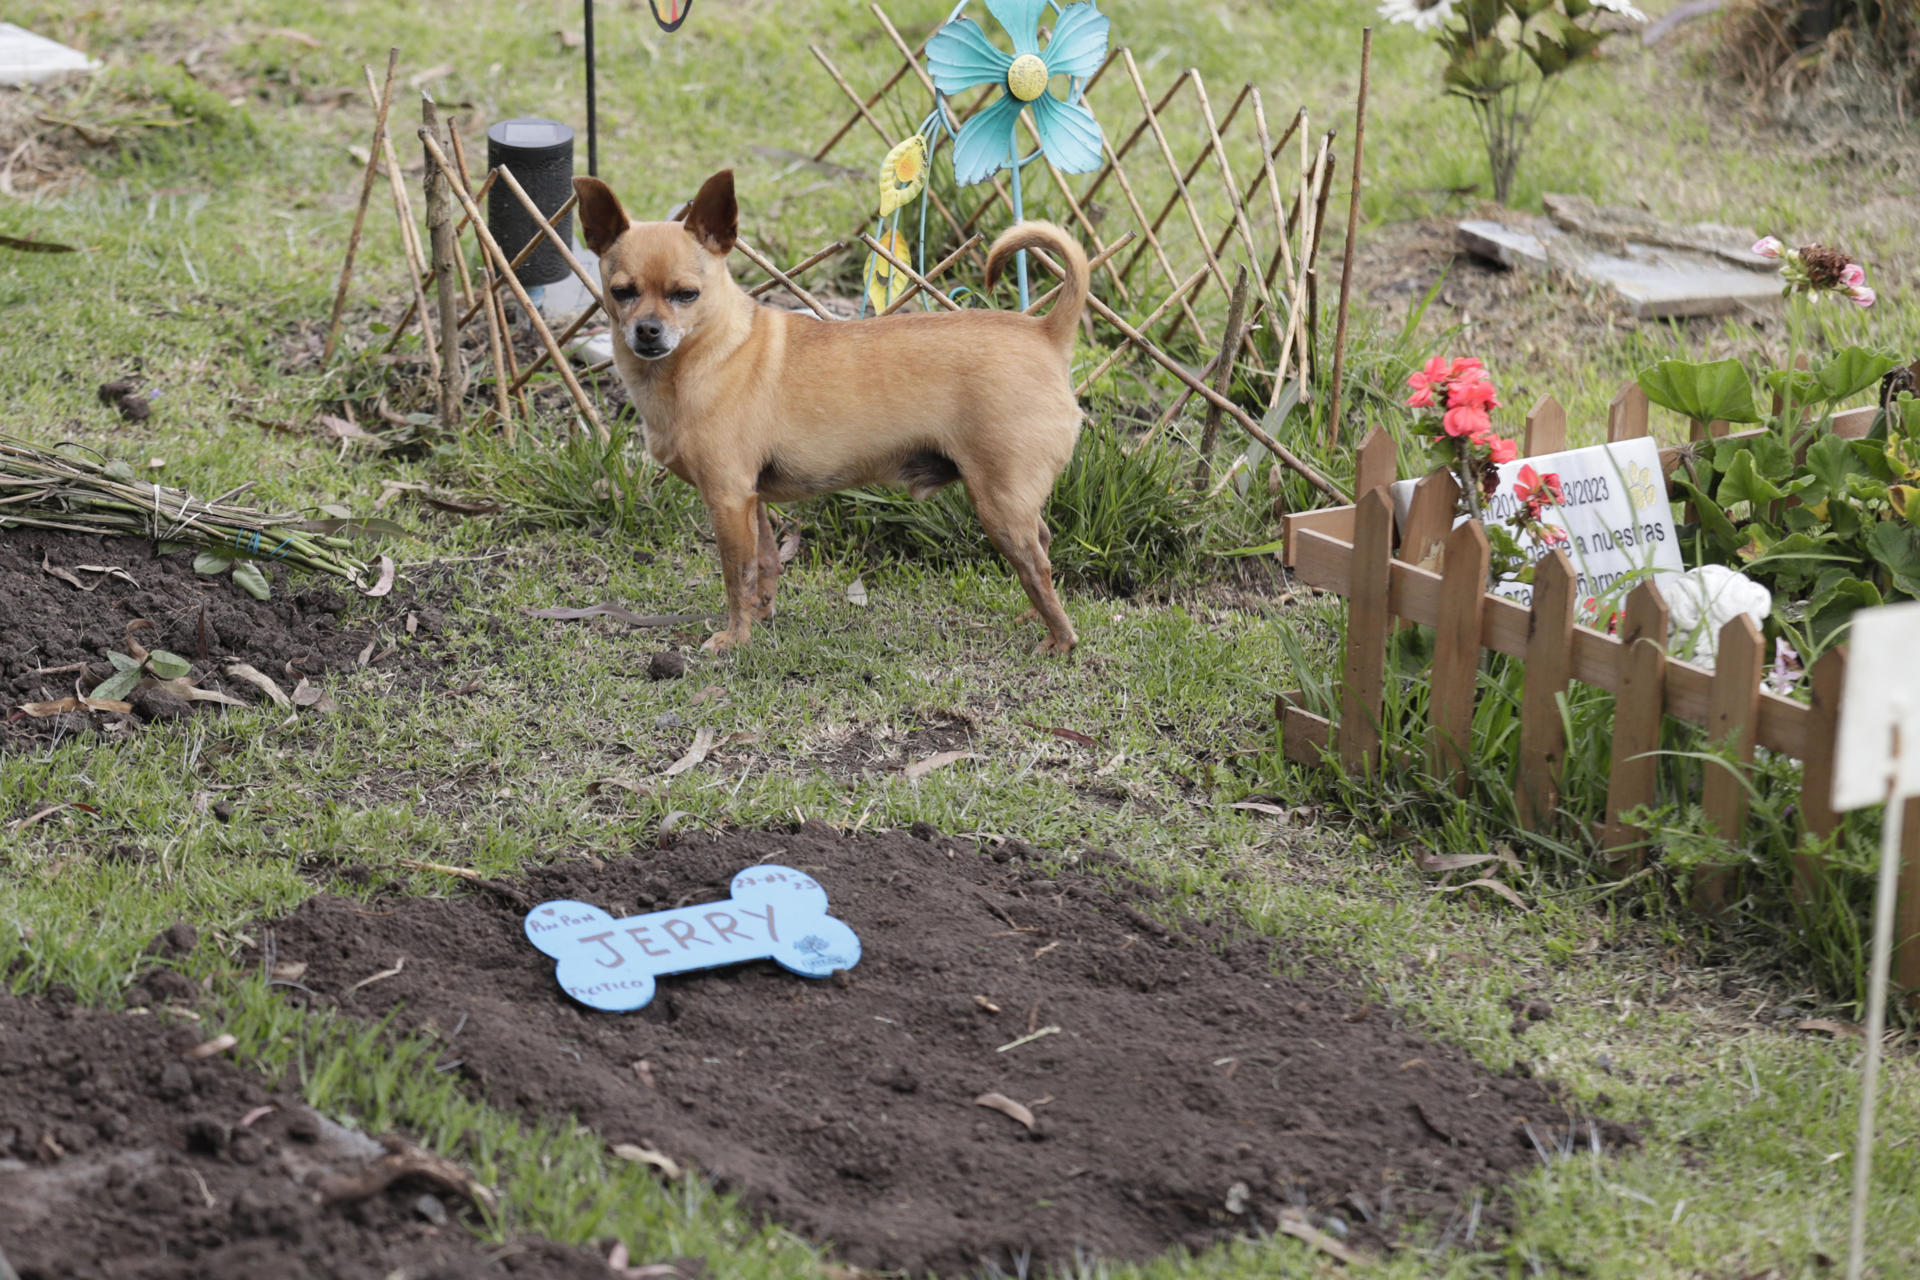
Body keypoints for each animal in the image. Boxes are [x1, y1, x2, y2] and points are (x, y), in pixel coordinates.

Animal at [568, 168, 1090, 656]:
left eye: (686, 295)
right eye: (622, 292)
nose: (647, 331)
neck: (704, 358)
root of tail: (1046, 333)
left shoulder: (727, 499)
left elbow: (735, 576)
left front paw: (734, 638)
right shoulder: (751, 499)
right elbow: (764, 563)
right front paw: (761, 615)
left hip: (999, 504)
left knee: (1036, 567)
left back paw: (1060, 639)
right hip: (1012, 502)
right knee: (1043, 544)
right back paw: (1033, 617)